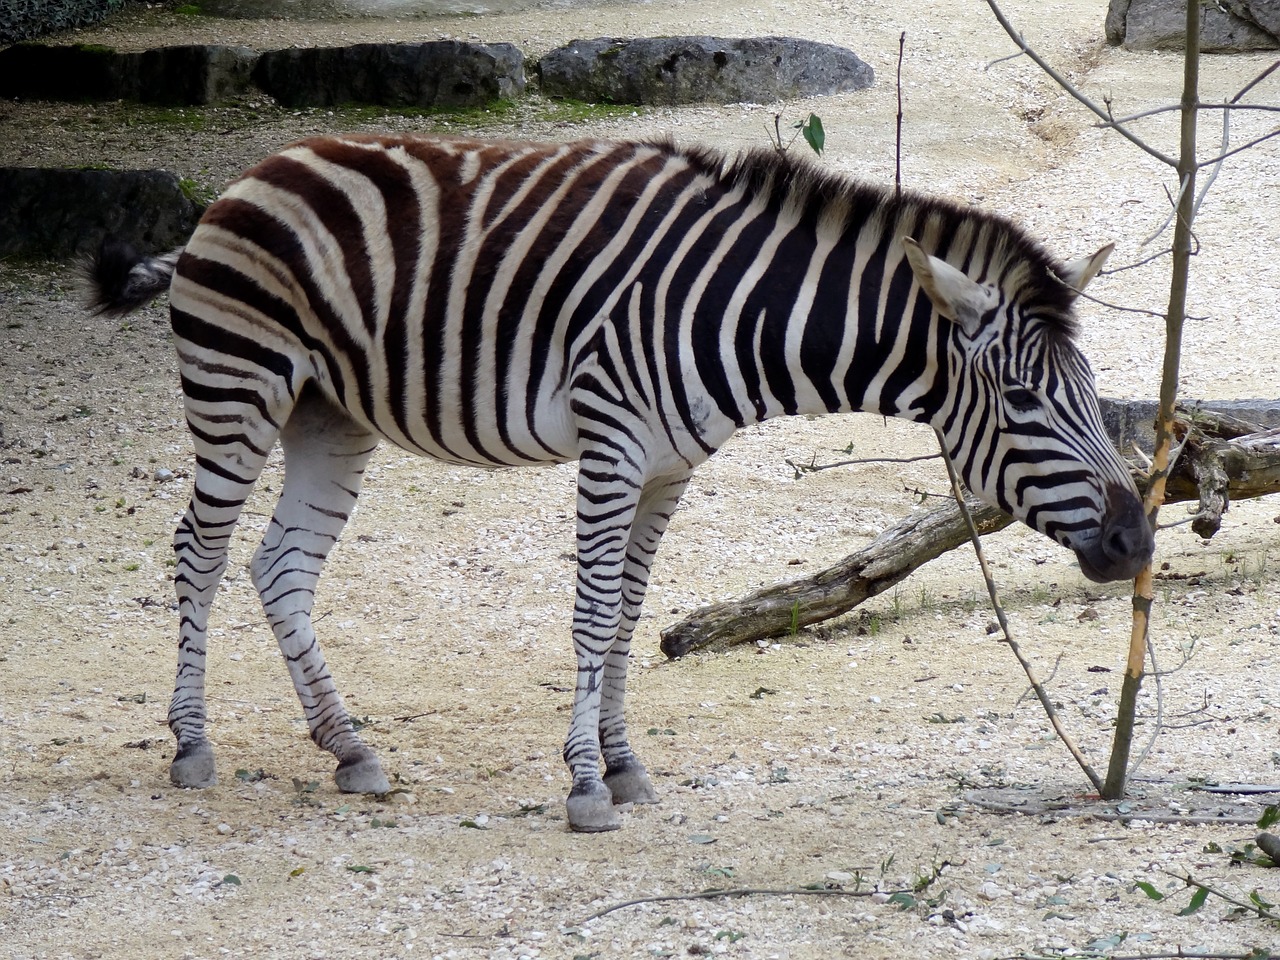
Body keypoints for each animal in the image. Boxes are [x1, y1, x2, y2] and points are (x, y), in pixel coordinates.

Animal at [87, 133, 1152, 834]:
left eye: (1092, 389)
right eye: (1023, 397)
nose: (1136, 540)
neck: (744, 312)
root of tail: (245, 180)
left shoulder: (669, 466)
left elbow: (633, 613)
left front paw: (627, 764)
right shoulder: (612, 443)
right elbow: (594, 613)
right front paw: (586, 787)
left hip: (329, 414)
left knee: (280, 568)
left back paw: (348, 747)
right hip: (240, 385)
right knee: (199, 552)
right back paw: (191, 746)